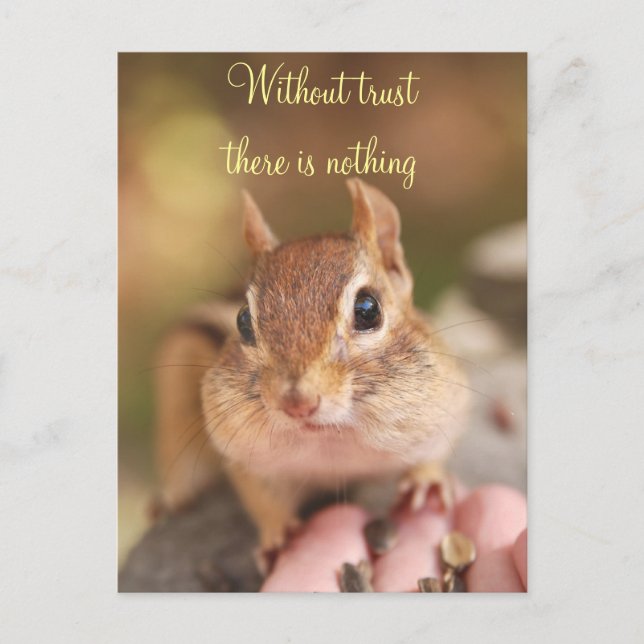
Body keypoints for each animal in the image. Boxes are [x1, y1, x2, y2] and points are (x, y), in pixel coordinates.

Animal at [154, 179, 470, 569]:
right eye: (242, 320)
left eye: (368, 309)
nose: (297, 403)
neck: (331, 438)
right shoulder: (243, 453)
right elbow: (261, 497)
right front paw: (277, 536)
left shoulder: (446, 402)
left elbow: (436, 449)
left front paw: (427, 481)